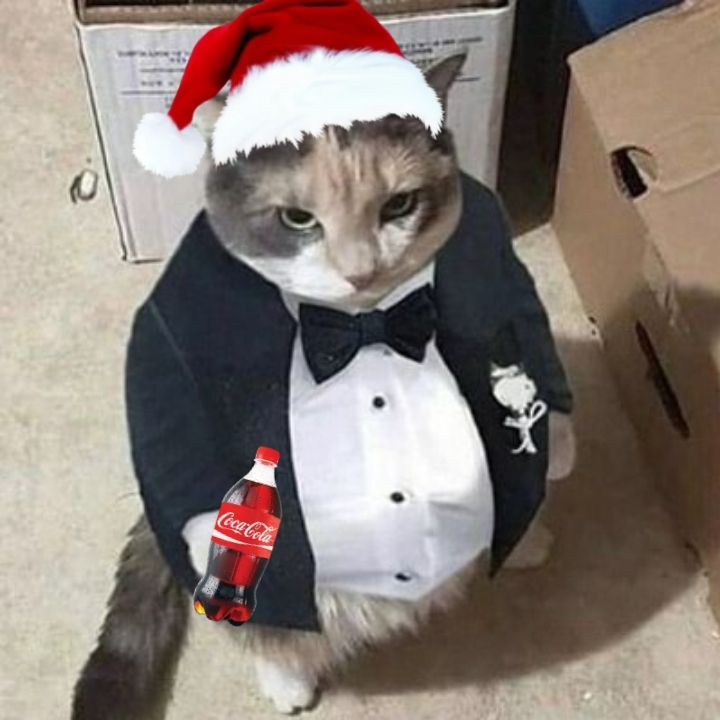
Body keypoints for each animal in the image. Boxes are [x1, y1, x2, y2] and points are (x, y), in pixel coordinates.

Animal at [71, 53, 576, 718]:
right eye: (297, 219)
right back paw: (287, 681)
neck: (367, 324)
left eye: (399, 206)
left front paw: (555, 443)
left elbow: (530, 345)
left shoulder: (498, 270)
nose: (361, 270)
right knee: (269, 631)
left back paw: (528, 542)